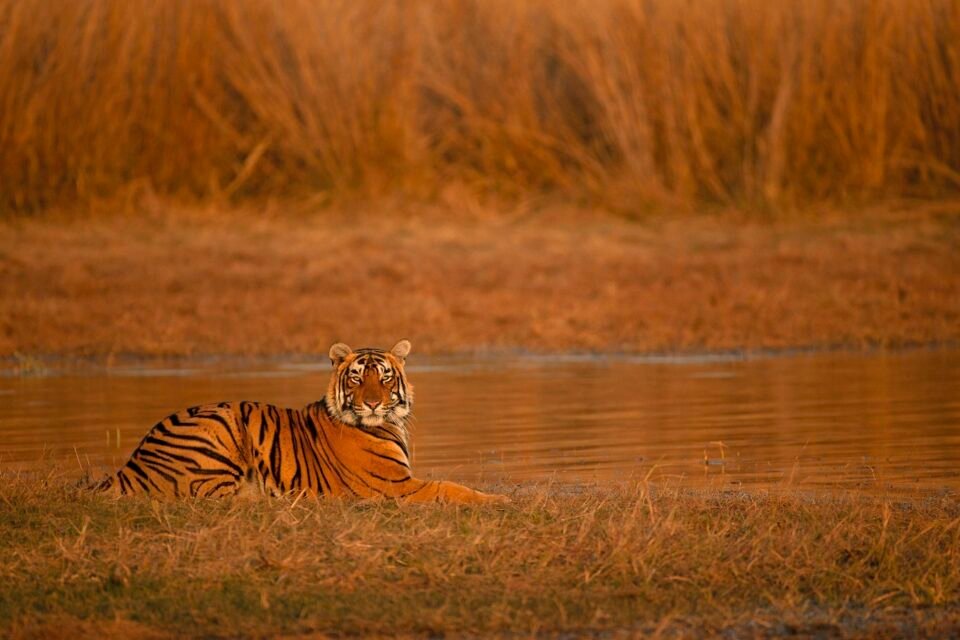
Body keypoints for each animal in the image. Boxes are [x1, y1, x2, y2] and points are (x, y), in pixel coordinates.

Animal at [96, 340, 507, 504]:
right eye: (357, 378)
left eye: (385, 377)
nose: (373, 403)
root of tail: (131, 463)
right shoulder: (396, 487)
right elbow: (451, 487)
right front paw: (500, 500)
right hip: (220, 425)